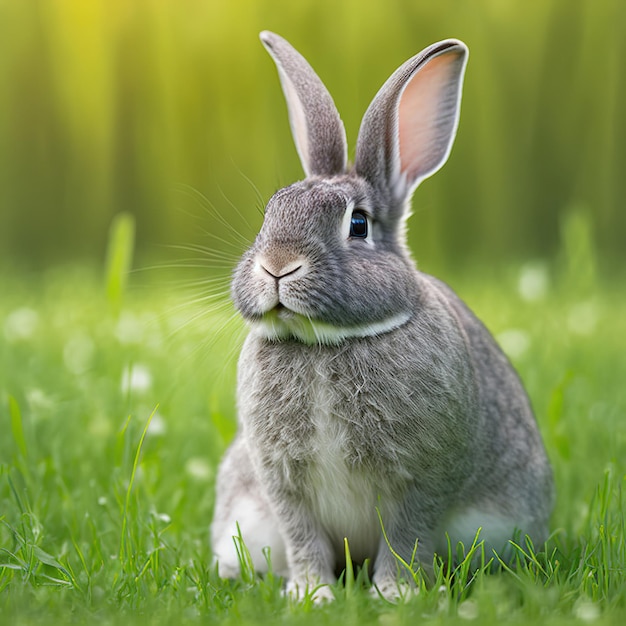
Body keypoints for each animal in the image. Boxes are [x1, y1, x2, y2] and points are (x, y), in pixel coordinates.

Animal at [210, 30, 552, 600]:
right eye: (270, 214)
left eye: (359, 224)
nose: (277, 265)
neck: (326, 343)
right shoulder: (281, 483)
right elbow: (303, 537)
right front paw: (312, 595)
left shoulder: (421, 480)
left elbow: (407, 537)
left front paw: (397, 594)